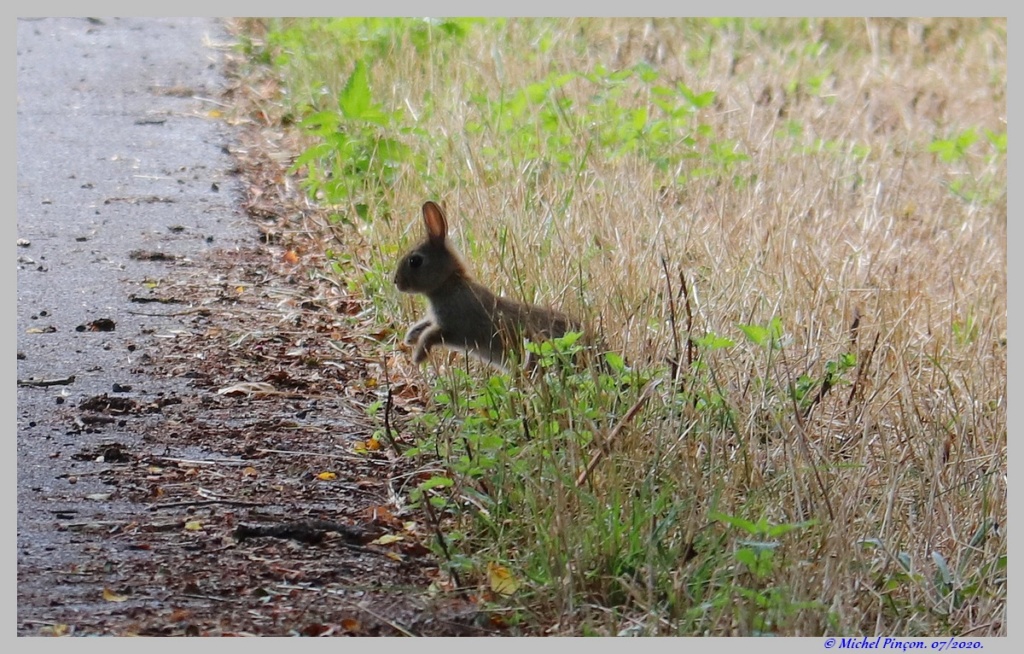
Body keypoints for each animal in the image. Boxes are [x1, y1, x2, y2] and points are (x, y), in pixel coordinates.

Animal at [393, 199, 581, 372]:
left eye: (415, 261)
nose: (396, 282)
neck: (450, 283)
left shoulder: (456, 328)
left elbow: (431, 335)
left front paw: (418, 356)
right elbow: (426, 325)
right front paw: (410, 337)